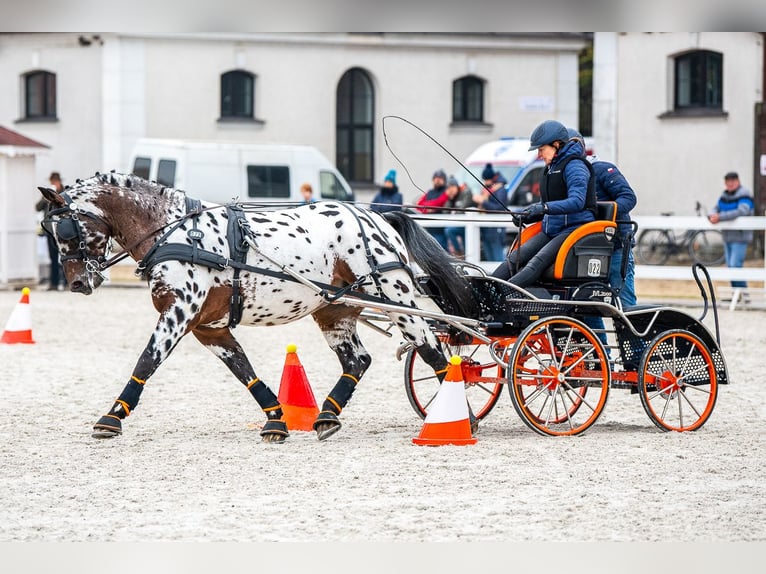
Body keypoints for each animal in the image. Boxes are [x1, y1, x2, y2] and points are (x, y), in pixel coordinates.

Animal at [39, 173, 480, 444]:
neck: (174, 231)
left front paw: (111, 418)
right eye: (49, 230)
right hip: (334, 310)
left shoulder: (179, 313)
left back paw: (461, 417)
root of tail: (377, 216)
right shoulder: (208, 326)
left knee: (433, 351)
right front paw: (275, 419)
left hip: (397, 300)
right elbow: (244, 371)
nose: (78, 283)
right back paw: (327, 416)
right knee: (358, 360)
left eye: (67, 229)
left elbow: (146, 362)